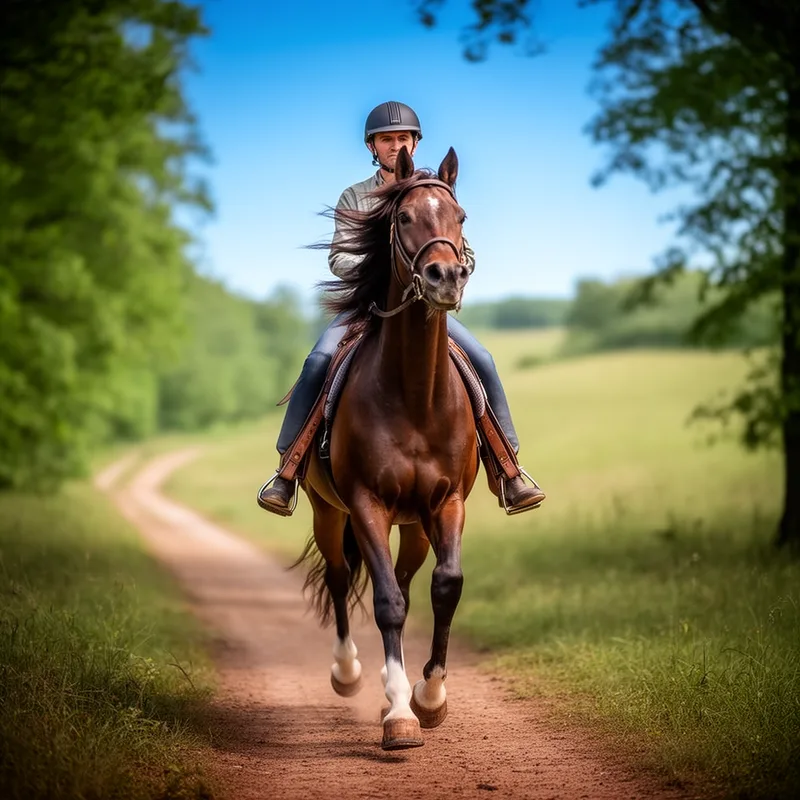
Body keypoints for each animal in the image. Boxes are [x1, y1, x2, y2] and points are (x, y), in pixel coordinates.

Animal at [296, 145, 478, 750]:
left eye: (460, 217)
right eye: (402, 218)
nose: (445, 276)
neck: (415, 394)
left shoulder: (446, 503)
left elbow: (445, 587)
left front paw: (430, 697)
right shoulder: (365, 503)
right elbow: (386, 604)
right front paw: (400, 714)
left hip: (415, 524)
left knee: (404, 577)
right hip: (328, 513)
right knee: (340, 576)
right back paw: (350, 673)